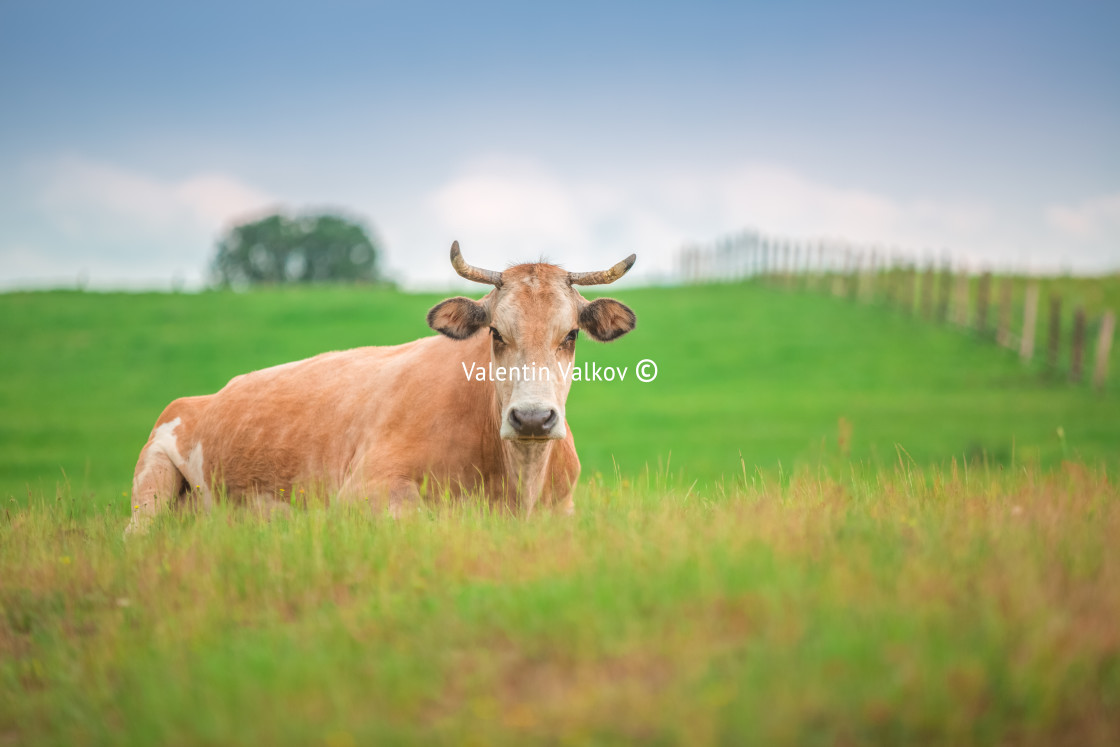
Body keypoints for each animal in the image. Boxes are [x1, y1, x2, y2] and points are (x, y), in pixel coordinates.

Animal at [126, 243, 636, 535]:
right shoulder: (363, 492)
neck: (518, 482)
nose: (532, 418)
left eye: (570, 335)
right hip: (153, 476)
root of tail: (204, 397)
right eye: (495, 332)